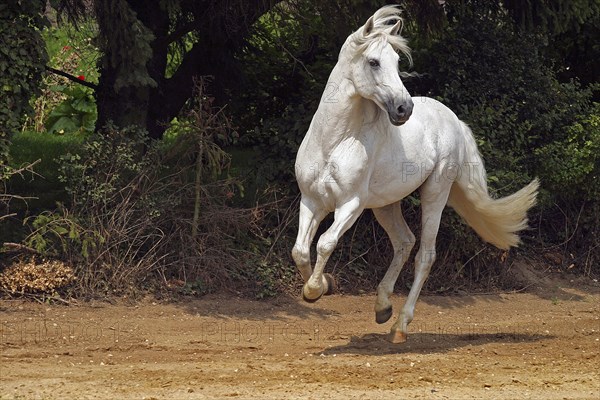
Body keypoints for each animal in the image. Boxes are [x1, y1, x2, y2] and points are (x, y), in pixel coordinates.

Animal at [290, 5, 540, 344]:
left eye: (398, 62)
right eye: (373, 61)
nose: (403, 109)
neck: (335, 141)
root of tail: (454, 121)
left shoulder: (351, 205)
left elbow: (325, 243)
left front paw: (317, 288)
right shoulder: (312, 201)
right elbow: (301, 250)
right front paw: (320, 287)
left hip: (435, 192)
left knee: (425, 254)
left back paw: (400, 325)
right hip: (385, 204)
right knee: (404, 242)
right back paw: (383, 308)